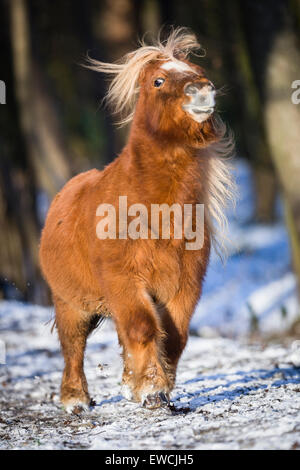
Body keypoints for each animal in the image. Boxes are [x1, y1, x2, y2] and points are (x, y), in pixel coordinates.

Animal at [39, 27, 234, 414]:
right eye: (158, 80)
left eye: (196, 68)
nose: (201, 90)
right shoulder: (124, 280)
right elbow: (143, 328)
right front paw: (151, 390)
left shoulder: (184, 285)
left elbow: (173, 336)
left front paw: (152, 386)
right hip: (70, 303)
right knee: (73, 346)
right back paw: (75, 399)